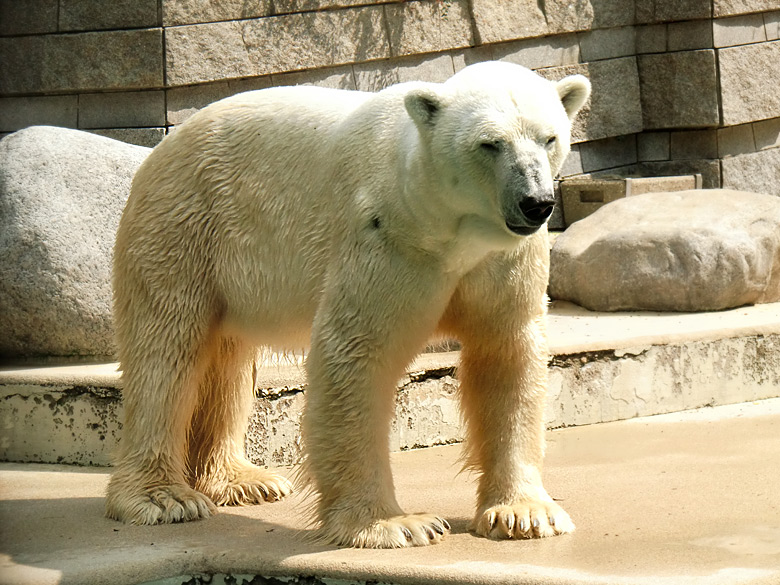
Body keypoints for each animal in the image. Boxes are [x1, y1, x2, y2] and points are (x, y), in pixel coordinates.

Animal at [105, 60, 592, 548]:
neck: (446, 228)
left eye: (549, 138)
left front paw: (524, 513)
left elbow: (507, 353)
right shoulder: (385, 239)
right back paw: (164, 497)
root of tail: (162, 146)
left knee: (227, 362)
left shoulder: (503, 260)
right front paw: (395, 524)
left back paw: (242, 480)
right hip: (183, 227)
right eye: (490, 143)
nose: (536, 204)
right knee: (166, 353)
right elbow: (357, 353)